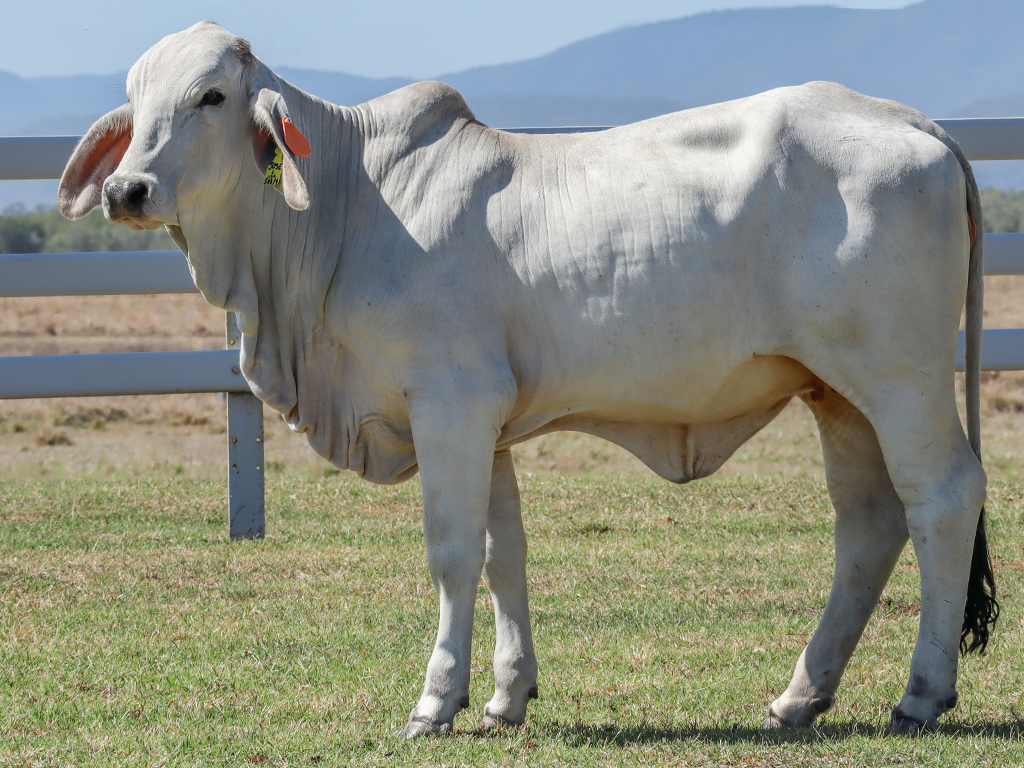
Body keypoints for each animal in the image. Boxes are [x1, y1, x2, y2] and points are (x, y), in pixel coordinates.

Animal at [58, 21, 996, 736]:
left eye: (212, 96)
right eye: (138, 102)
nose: (127, 188)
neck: (344, 207)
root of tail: (917, 123)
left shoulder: (450, 402)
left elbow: (449, 552)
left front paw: (435, 701)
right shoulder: (490, 421)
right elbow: (501, 552)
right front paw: (507, 695)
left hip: (899, 378)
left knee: (944, 497)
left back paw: (921, 694)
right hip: (835, 392)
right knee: (868, 523)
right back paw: (802, 695)